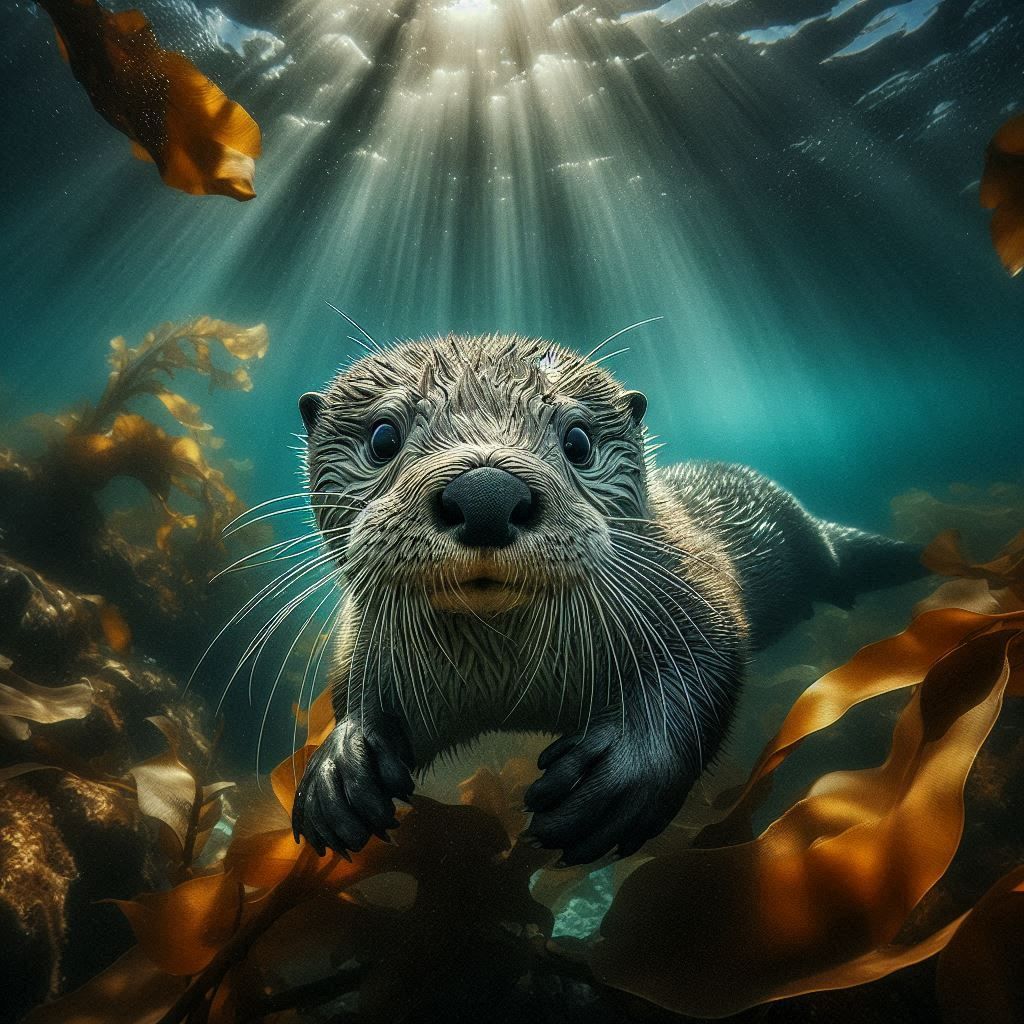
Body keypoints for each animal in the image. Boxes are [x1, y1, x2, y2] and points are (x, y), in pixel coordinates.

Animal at [291, 333, 924, 866]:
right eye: (383, 437)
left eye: (577, 441)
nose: (486, 494)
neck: (508, 679)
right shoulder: (365, 645)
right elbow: (356, 698)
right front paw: (339, 769)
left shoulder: (694, 587)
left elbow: (705, 664)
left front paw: (619, 777)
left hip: (804, 540)